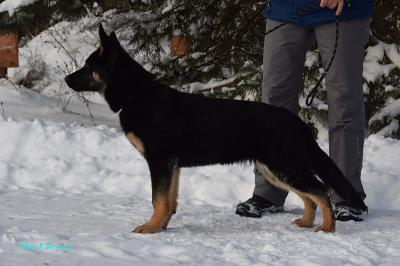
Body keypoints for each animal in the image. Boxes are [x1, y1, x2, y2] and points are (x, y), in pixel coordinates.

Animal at [64, 24, 368, 233]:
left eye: (88, 66)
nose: (67, 79)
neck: (136, 94)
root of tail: (297, 122)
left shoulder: (160, 162)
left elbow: (157, 199)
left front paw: (150, 227)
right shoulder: (172, 166)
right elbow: (168, 202)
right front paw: (162, 226)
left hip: (284, 167)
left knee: (322, 192)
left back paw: (327, 228)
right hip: (275, 170)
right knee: (310, 196)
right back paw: (306, 222)